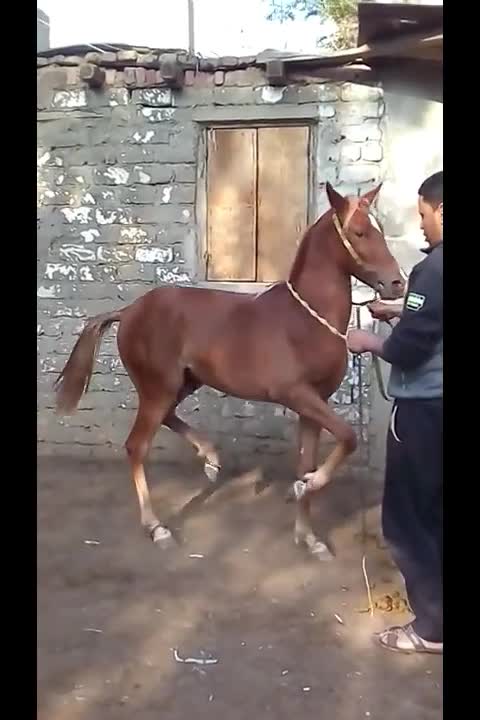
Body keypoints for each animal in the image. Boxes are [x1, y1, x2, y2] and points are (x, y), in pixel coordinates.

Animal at [55, 182, 405, 560]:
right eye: (360, 232)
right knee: (137, 446)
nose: (397, 284)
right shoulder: (296, 394)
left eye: (379, 230)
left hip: (183, 383)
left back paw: (210, 459)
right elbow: (348, 437)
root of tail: (128, 310)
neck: (306, 321)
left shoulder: (314, 404)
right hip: (157, 387)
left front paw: (309, 536)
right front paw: (305, 487)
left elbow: (308, 461)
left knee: (168, 418)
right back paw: (157, 528)